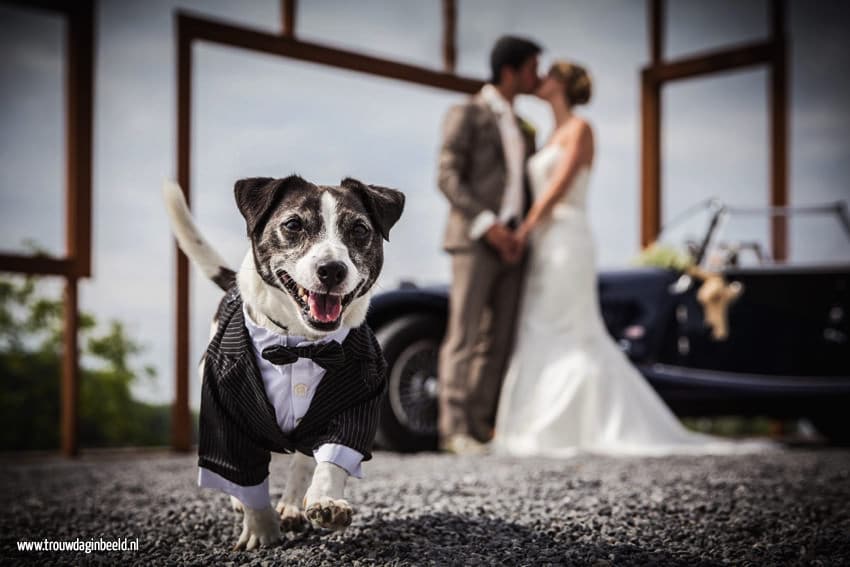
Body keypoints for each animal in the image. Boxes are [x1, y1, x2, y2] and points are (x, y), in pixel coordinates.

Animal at [163, 176, 408, 552]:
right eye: (293, 224)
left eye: (359, 229)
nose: (331, 269)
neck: (302, 343)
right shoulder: (224, 412)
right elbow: (242, 471)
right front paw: (261, 528)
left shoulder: (356, 400)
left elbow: (333, 456)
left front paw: (325, 501)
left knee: (302, 461)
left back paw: (293, 505)